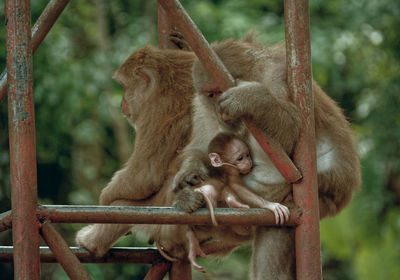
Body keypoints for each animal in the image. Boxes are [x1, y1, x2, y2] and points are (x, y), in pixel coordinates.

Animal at [173, 34, 362, 278]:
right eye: (210, 94)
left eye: (218, 91)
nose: (217, 108)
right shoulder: (201, 104)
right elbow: (203, 146)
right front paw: (190, 173)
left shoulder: (276, 74)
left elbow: (292, 131)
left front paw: (250, 98)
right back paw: (190, 201)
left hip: (322, 192)